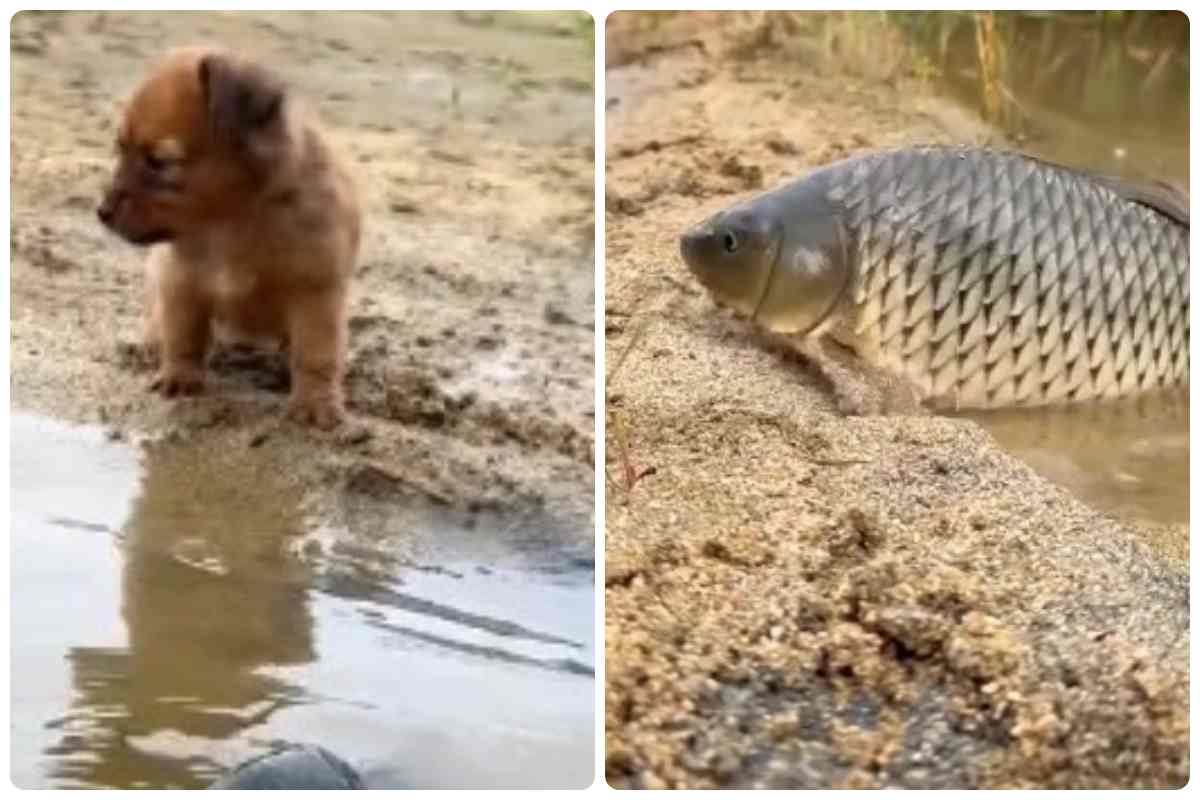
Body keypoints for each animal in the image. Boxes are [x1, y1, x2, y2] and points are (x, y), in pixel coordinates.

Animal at [97, 46, 360, 429]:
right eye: (120, 148)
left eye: (160, 162)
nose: (101, 211)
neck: (229, 221)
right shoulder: (181, 281)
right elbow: (183, 336)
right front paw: (179, 377)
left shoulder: (316, 292)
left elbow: (316, 355)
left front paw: (315, 403)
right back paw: (148, 344)